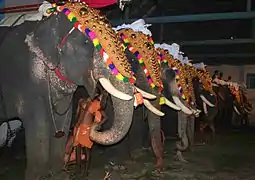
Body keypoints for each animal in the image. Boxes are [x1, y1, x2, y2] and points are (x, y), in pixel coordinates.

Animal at [0, 1, 155, 180]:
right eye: (87, 43)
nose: (96, 125)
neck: (45, 22)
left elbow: (64, 119)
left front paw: (59, 175)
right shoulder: (28, 81)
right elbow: (39, 123)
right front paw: (37, 176)